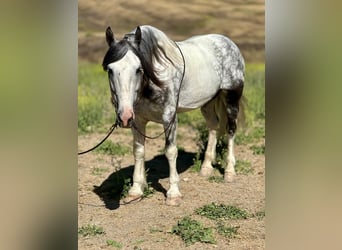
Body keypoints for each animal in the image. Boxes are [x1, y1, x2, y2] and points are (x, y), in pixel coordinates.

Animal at [102, 25, 246, 206]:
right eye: (110, 70)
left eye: (138, 69)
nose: (124, 116)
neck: (154, 81)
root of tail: (229, 43)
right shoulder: (139, 121)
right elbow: (138, 151)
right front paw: (135, 190)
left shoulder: (169, 118)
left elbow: (170, 151)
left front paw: (173, 194)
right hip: (208, 102)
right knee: (213, 127)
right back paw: (206, 168)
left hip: (232, 97)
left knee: (231, 130)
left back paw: (229, 172)